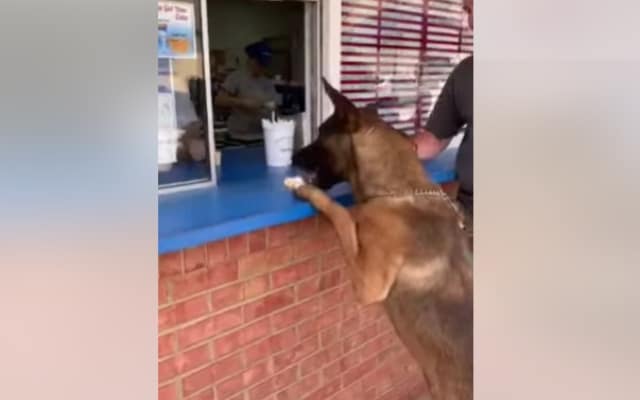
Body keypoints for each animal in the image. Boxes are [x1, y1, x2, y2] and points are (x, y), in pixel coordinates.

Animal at [282, 79, 472, 400]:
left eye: (320, 132)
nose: (292, 157)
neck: (398, 190)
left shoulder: (368, 284)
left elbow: (340, 212)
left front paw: (302, 188)